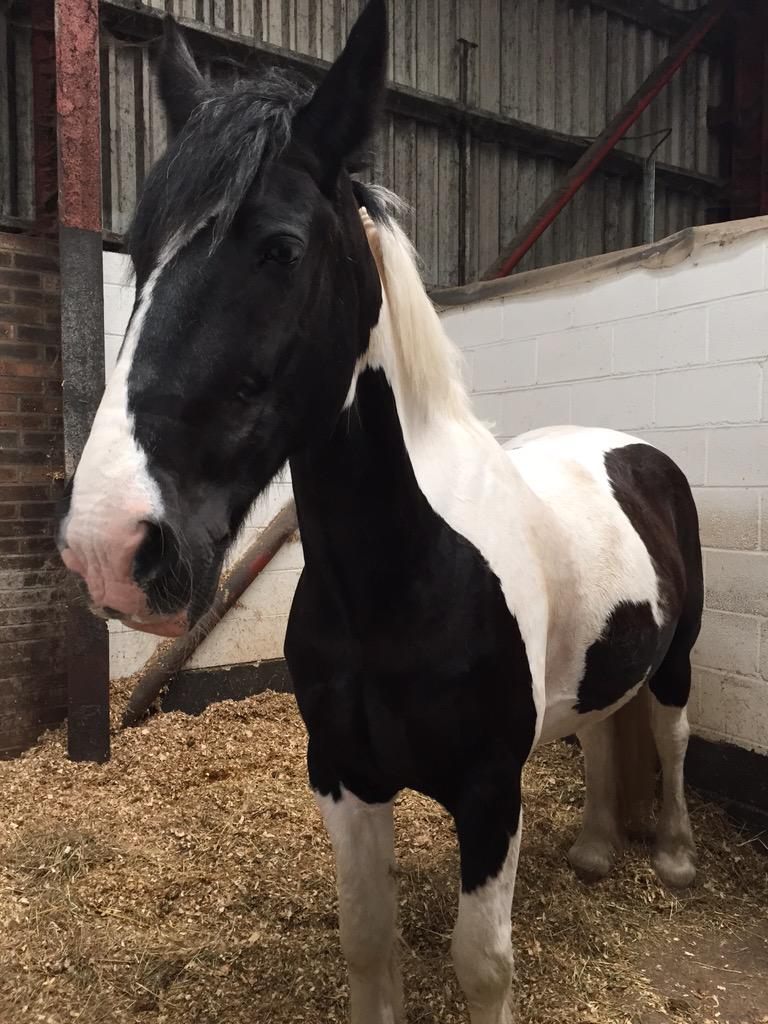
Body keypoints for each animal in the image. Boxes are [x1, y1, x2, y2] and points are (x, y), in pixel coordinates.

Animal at [57, 3, 703, 1021]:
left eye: (281, 249)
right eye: (143, 257)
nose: (108, 547)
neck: (408, 573)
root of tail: (632, 448)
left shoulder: (490, 793)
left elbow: (484, 964)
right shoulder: (345, 779)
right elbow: (368, 944)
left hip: (678, 657)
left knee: (670, 736)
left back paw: (674, 857)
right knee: (604, 731)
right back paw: (599, 849)